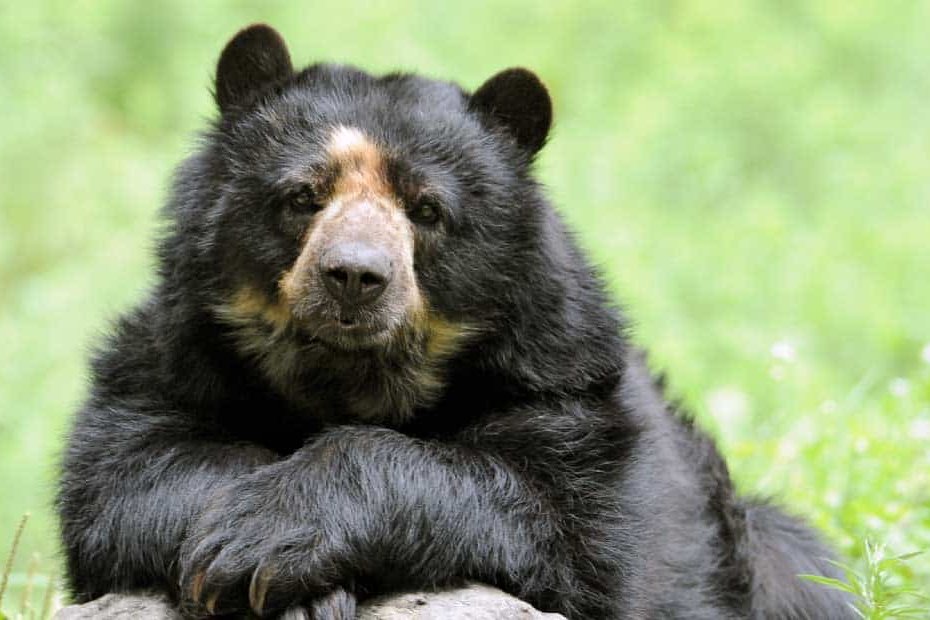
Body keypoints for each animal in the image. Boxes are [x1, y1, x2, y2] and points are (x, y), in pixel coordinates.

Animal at [58, 23, 852, 620]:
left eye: (427, 210)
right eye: (302, 196)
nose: (355, 276)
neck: (350, 380)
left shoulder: (567, 391)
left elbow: (575, 531)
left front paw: (259, 544)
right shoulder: (169, 359)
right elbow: (126, 473)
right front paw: (253, 563)